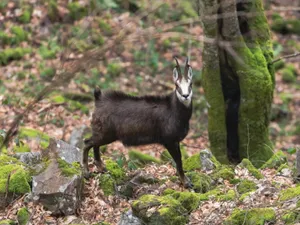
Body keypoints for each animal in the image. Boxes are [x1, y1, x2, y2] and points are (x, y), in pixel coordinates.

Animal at [83, 57, 193, 187]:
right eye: (177, 85)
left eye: (190, 84)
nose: (185, 96)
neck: (174, 111)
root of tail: (98, 100)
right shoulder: (169, 140)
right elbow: (178, 161)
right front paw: (186, 182)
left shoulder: (175, 141)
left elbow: (179, 160)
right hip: (105, 133)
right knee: (87, 143)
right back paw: (86, 172)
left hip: (103, 133)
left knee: (95, 145)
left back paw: (101, 168)